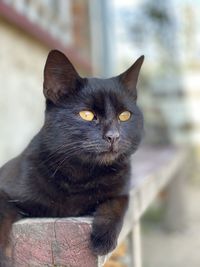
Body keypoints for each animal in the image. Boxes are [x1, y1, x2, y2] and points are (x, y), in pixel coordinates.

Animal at [0, 50, 144, 266]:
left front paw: (102, 240)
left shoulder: (122, 190)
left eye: (125, 116)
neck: (80, 175)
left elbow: (115, 206)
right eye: (86, 115)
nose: (113, 136)